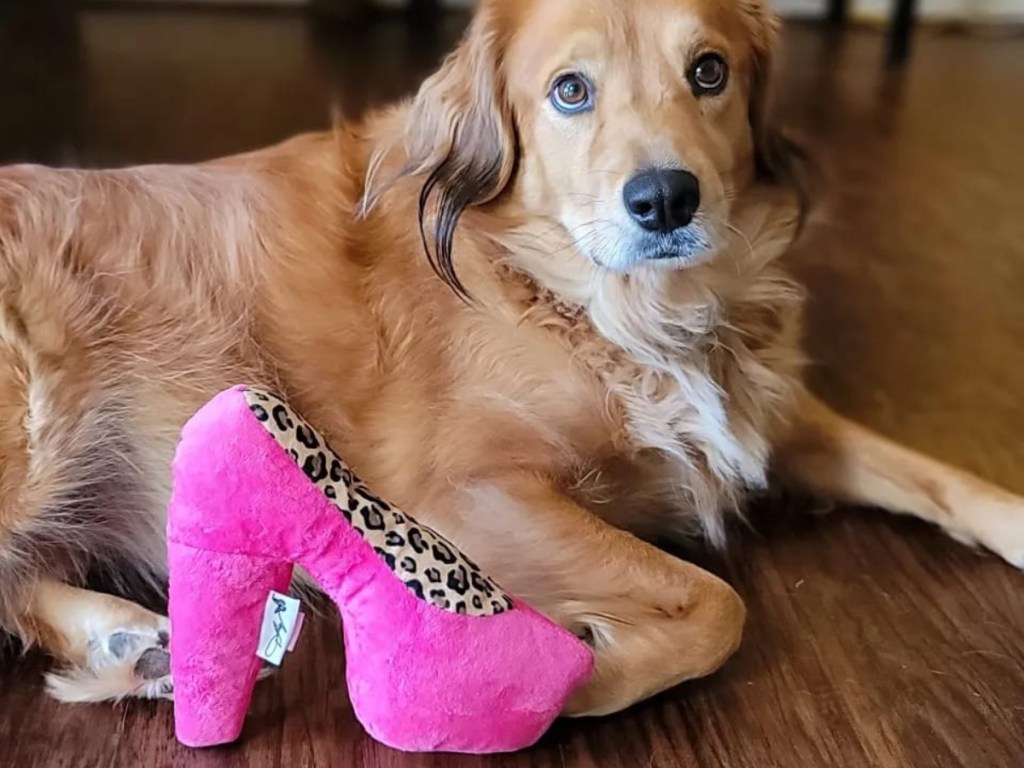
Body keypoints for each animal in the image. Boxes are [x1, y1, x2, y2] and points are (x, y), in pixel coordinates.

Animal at [2, 0, 1024, 716]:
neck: (601, 301)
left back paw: (126, 646)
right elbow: (715, 603)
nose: (666, 200)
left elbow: (942, 478)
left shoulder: (763, 411)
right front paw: (572, 682)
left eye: (710, 72)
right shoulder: (456, 494)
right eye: (570, 90)